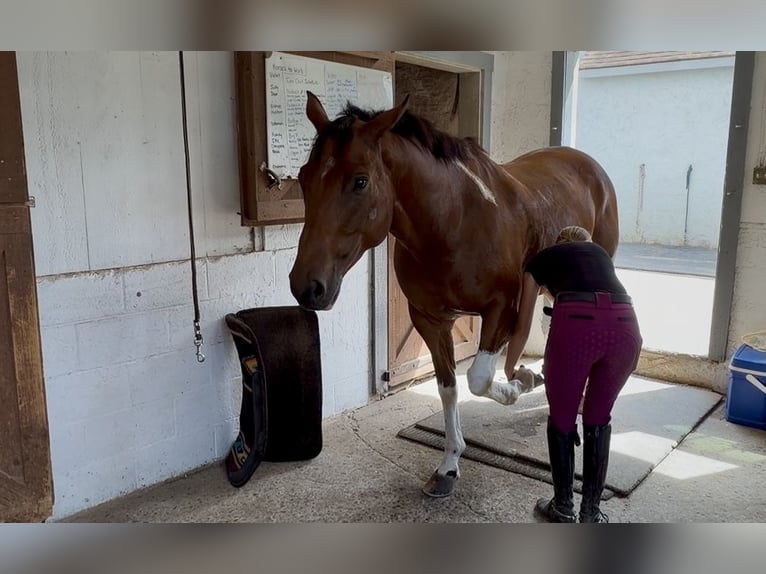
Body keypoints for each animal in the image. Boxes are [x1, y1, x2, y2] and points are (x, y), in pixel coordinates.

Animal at [289, 91, 619, 498]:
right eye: (303, 177)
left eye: (360, 181)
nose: (306, 286)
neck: (454, 222)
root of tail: (588, 165)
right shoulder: (430, 320)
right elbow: (448, 387)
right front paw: (449, 464)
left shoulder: (501, 311)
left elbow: (478, 379)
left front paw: (519, 383)